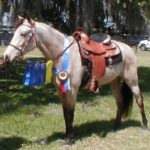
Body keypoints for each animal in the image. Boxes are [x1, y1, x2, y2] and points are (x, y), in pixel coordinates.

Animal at [3, 16, 148, 144]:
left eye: (23, 34)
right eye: (15, 33)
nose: (6, 57)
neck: (63, 54)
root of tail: (128, 48)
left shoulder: (72, 90)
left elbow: (70, 114)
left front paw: (70, 140)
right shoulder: (61, 91)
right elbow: (65, 114)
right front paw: (67, 136)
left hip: (131, 80)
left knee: (139, 99)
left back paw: (145, 125)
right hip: (115, 82)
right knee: (120, 102)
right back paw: (115, 126)